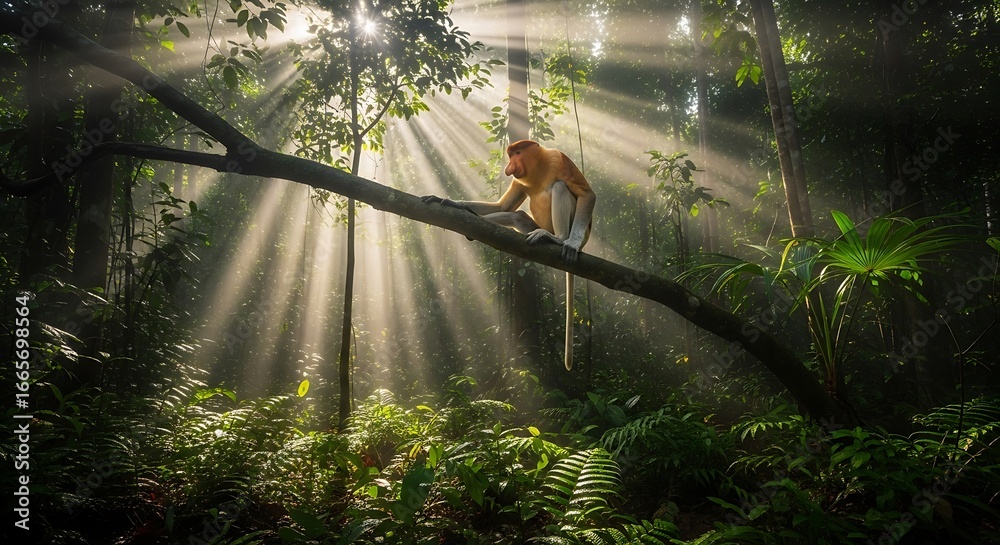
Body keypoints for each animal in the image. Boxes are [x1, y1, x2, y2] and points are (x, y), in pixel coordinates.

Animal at [422, 140, 596, 370]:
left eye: (518, 153)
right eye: (511, 155)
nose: (509, 166)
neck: (538, 169)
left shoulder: (558, 159)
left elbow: (587, 194)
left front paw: (571, 243)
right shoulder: (520, 180)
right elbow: (504, 206)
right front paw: (450, 202)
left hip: (580, 230)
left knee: (560, 186)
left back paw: (559, 239)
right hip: (531, 225)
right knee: (517, 215)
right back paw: (470, 222)